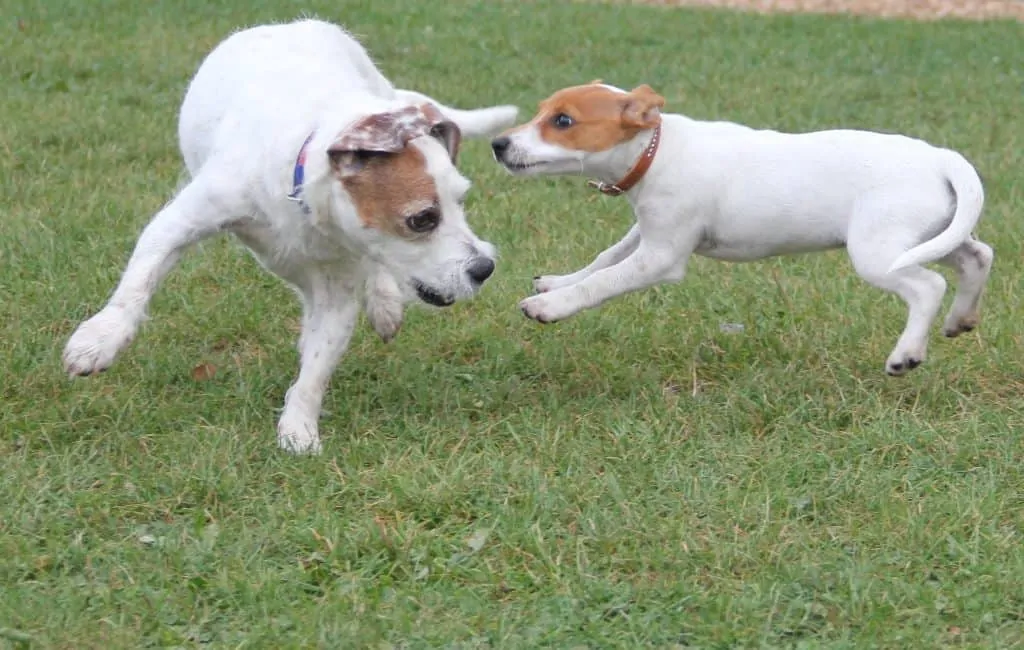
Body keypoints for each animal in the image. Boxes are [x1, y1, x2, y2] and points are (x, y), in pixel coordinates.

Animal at [61, 21, 520, 458]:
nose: (485, 268)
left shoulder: (337, 292)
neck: (303, 189)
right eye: (423, 219)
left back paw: (384, 301)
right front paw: (100, 339)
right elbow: (137, 283)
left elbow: (315, 369)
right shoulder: (180, 221)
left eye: (461, 201)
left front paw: (298, 427)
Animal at [493, 81, 991, 376]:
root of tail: (942, 158)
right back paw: (960, 319)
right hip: (930, 235)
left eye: (563, 121)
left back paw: (906, 354)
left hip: (878, 250)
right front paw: (556, 281)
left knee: (927, 286)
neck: (656, 148)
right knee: (978, 257)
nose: (498, 144)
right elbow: (604, 259)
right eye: (541, 112)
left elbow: (603, 282)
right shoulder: (649, 232)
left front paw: (550, 306)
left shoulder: (661, 257)